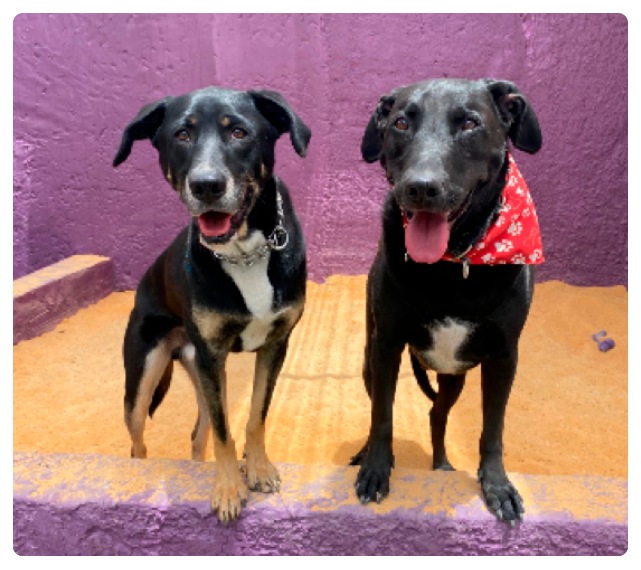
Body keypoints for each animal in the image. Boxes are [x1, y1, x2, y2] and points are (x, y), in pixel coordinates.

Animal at [112, 86, 311, 524]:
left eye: (239, 132)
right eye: (181, 135)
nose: (206, 185)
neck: (246, 251)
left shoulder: (276, 345)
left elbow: (255, 416)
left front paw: (258, 468)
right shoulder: (210, 355)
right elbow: (225, 431)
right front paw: (228, 489)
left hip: (201, 374)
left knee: (197, 432)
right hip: (146, 376)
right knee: (137, 442)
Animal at [351, 78, 543, 524]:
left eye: (470, 123)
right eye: (401, 122)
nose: (421, 187)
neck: (451, 265)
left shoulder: (504, 356)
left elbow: (493, 428)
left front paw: (497, 485)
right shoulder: (386, 345)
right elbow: (381, 416)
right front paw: (375, 470)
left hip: (454, 376)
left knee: (438, 415)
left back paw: (440, 466)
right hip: (371, 360)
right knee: (388, 408)